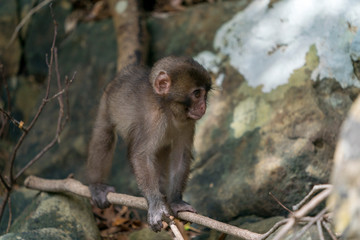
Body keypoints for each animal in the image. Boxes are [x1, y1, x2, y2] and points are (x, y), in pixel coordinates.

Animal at [87, 56, 211, 232]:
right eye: (197, 93)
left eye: (205, 94)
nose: (203, 106)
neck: (167, 108)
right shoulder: (152, 119)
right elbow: (141, 156)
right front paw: (156, 204)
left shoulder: (187, 122)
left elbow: (180, 155)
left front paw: (176, 201)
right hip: (107, 101)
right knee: (104, 135)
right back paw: (97, 186)